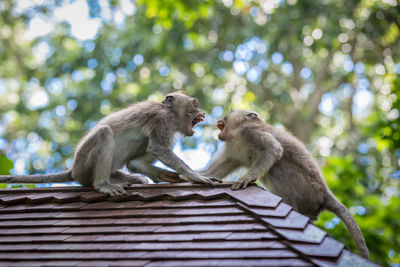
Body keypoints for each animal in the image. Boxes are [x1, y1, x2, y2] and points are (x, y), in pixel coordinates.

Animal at [0, 92, 219, 197]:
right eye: (194, 104)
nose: (203, 112)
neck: (170, 113)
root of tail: (73, 170)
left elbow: (136, 163)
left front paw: (167, 176)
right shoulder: (161, 121)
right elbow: (157, 148)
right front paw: (195, 176)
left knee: (136, 176)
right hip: (85, 164)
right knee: (104, 133)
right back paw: (102, 185)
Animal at [203, 109, 368, 260]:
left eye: (231, 111)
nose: (224, 115)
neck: (237, 134)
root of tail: (324, 192)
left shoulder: (251, 132)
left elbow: (273, 150)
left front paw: (246, 179)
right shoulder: (233, 149)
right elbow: (212, 172)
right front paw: (201, 177)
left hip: (305, 190)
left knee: (275, 169)